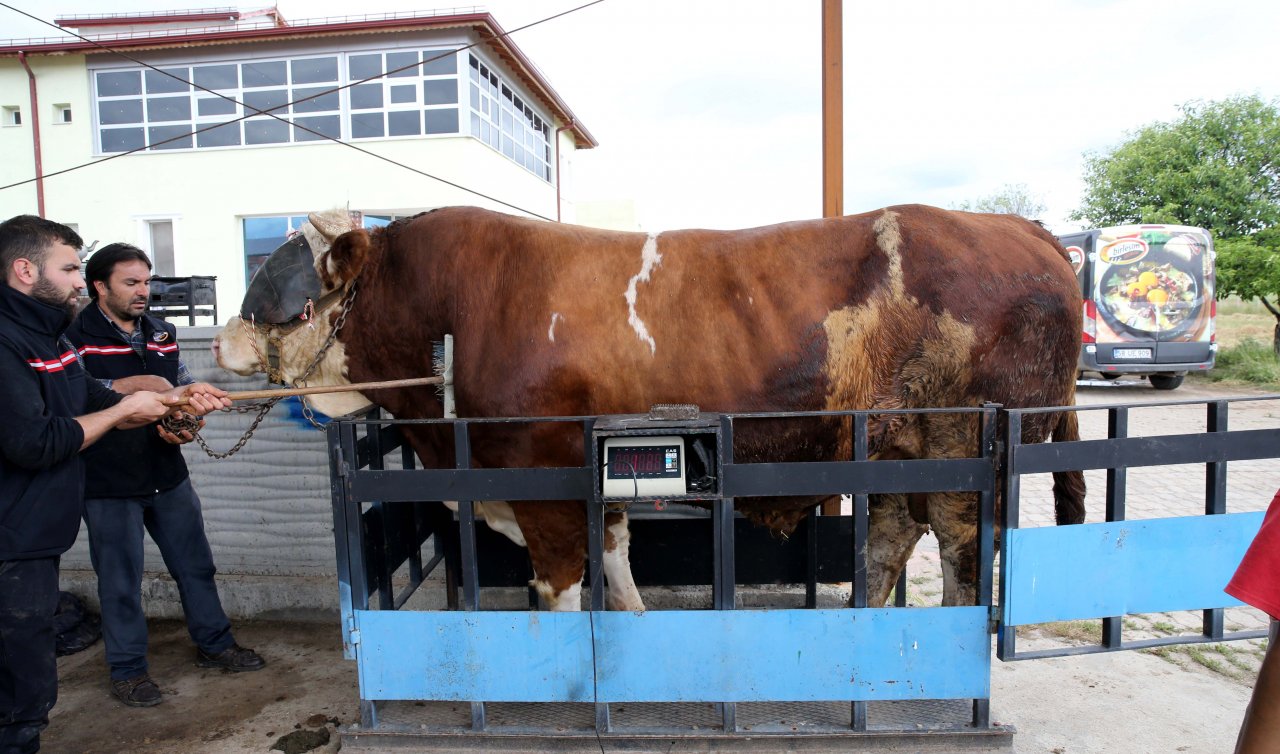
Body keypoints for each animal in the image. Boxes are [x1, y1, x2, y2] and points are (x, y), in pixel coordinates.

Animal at [215, 202, 1085, 609]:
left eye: (287, 290)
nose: (221, 342)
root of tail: (1016, 227)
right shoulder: (588, 480)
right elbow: (615, 555)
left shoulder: (543, 483)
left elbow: (561, 585)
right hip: (897, 449)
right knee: (892, 539)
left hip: (963, 451)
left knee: (964, 554)